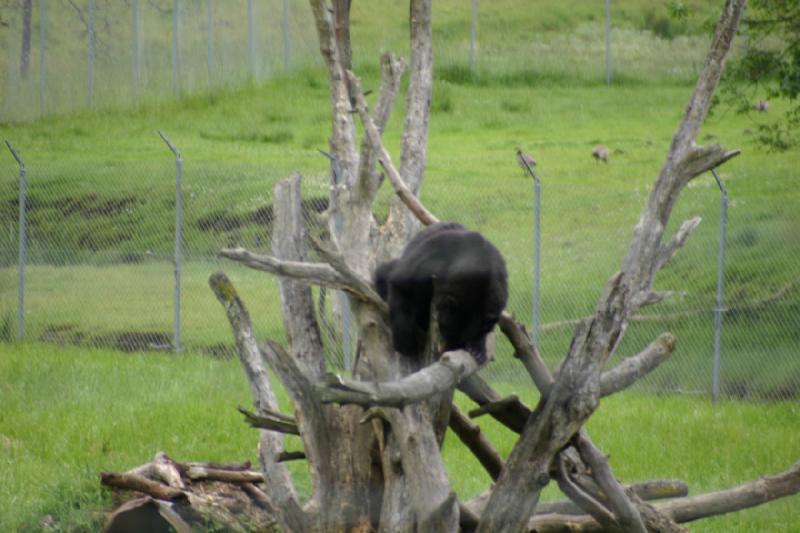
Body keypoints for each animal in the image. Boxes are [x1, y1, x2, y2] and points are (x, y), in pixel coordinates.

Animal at [374, 222, 506, 364]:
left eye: (462, 342)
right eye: (447, 331)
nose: (446, 351)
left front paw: (477, 349)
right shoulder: (433, 255)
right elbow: (400, 283)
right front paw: (404, 344)